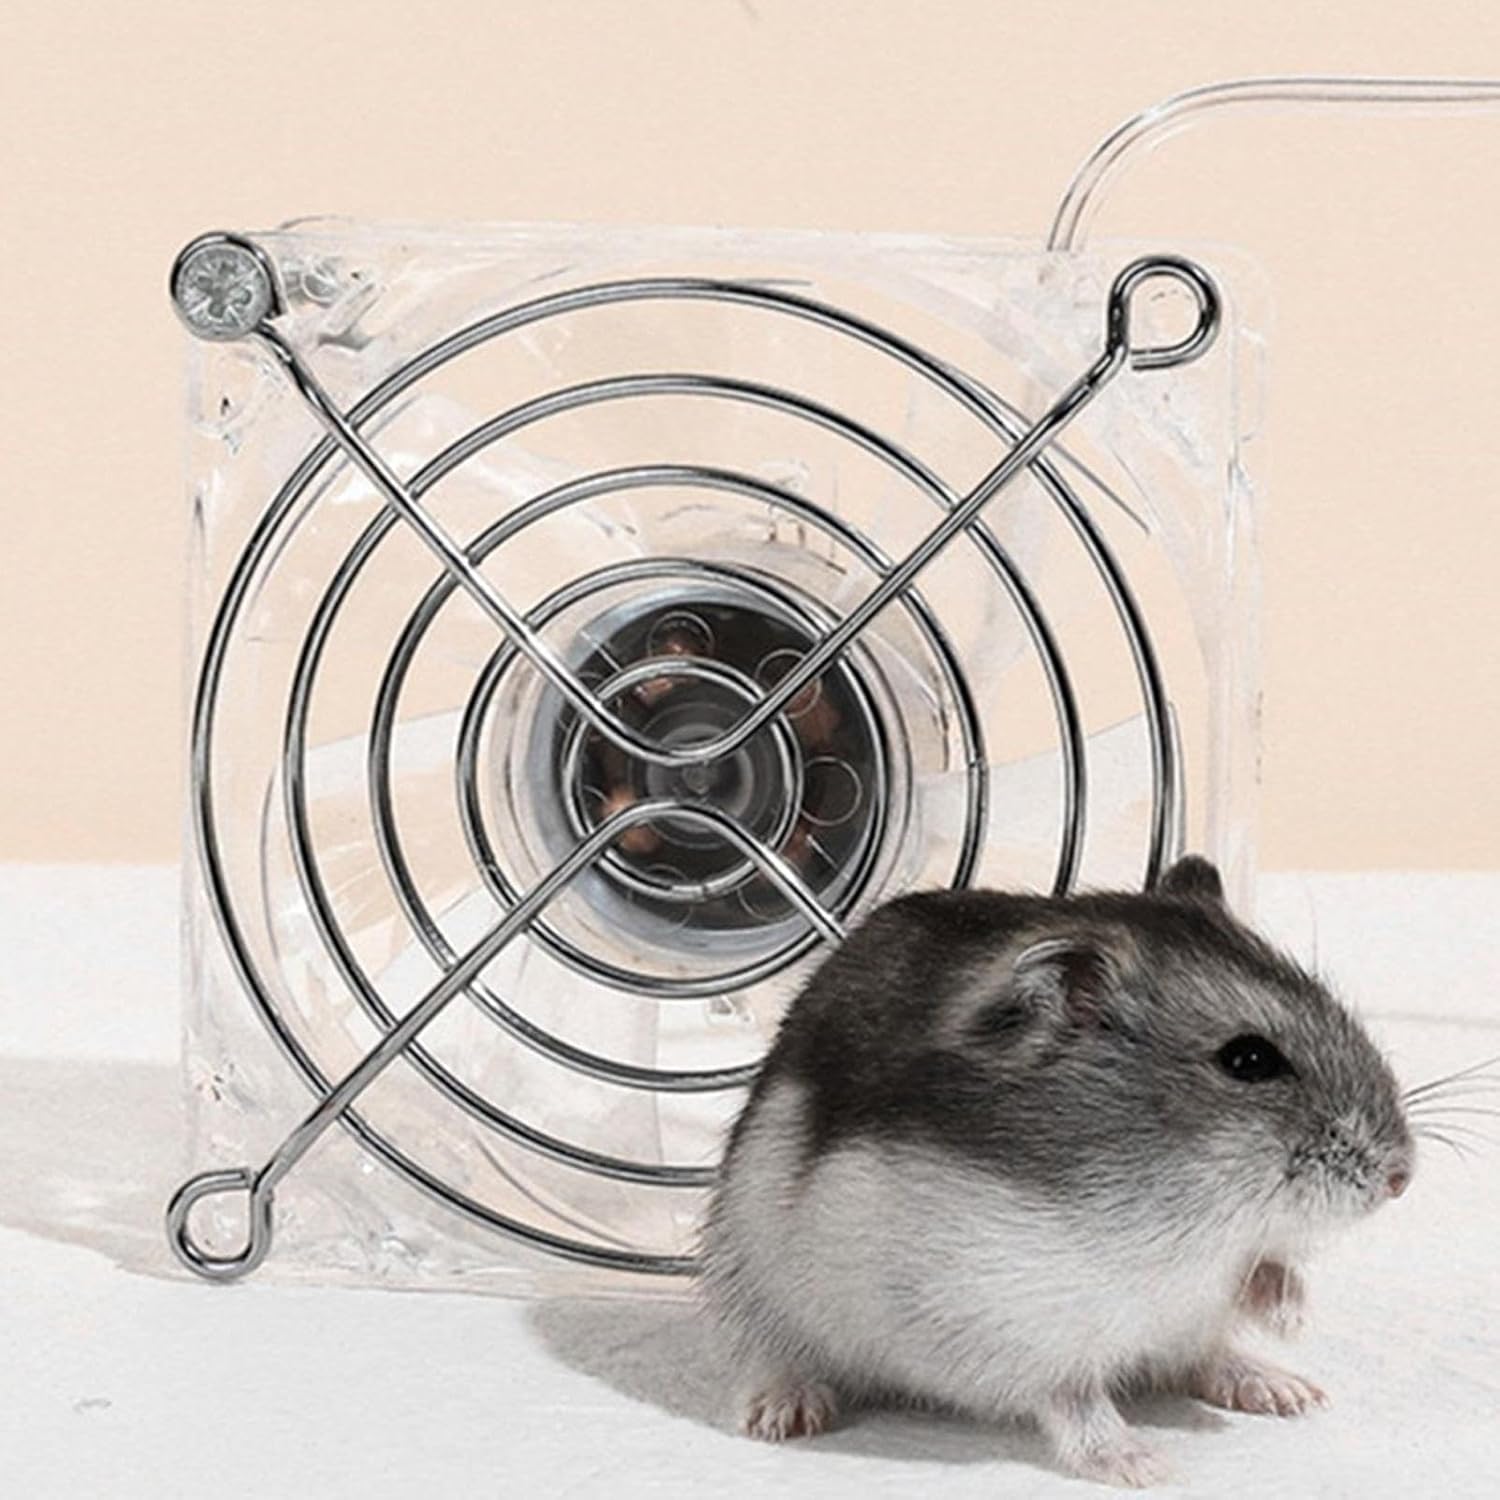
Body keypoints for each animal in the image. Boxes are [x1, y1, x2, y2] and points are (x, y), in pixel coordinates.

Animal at [700, 856, 1414, 1488]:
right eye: (1249, 1060)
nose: (1401, 1178)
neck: (1187, 1208)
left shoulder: (1214, 1271)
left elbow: (1261, 1269)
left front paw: (1291, 1321)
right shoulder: (1012, 1328)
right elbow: (1074, 1401)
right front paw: (1146, 1468)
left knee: (1199, 1357)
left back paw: (1285, 1390)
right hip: (753, 1278)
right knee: (769, 1352)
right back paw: (784, 1415)